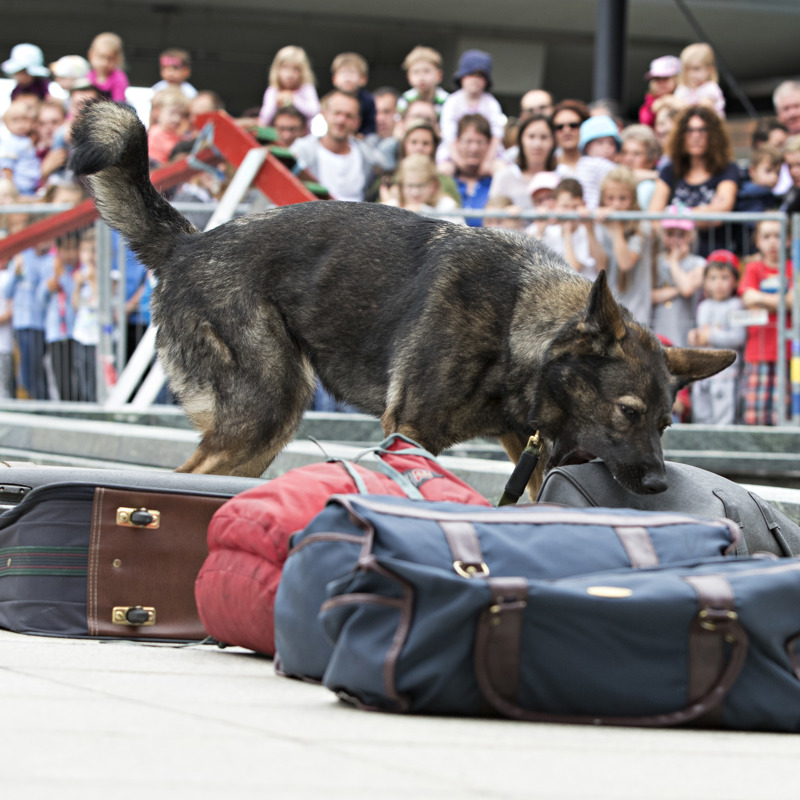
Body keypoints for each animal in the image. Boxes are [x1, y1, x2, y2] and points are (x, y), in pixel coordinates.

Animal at [72, 101, 736, 494]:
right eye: (627, 412)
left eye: (667, 423)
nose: (658, 485)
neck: (517, 323)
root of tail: (187, 245)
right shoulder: (410, 431)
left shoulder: (529, 449)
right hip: (268, 407)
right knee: (189, 473)